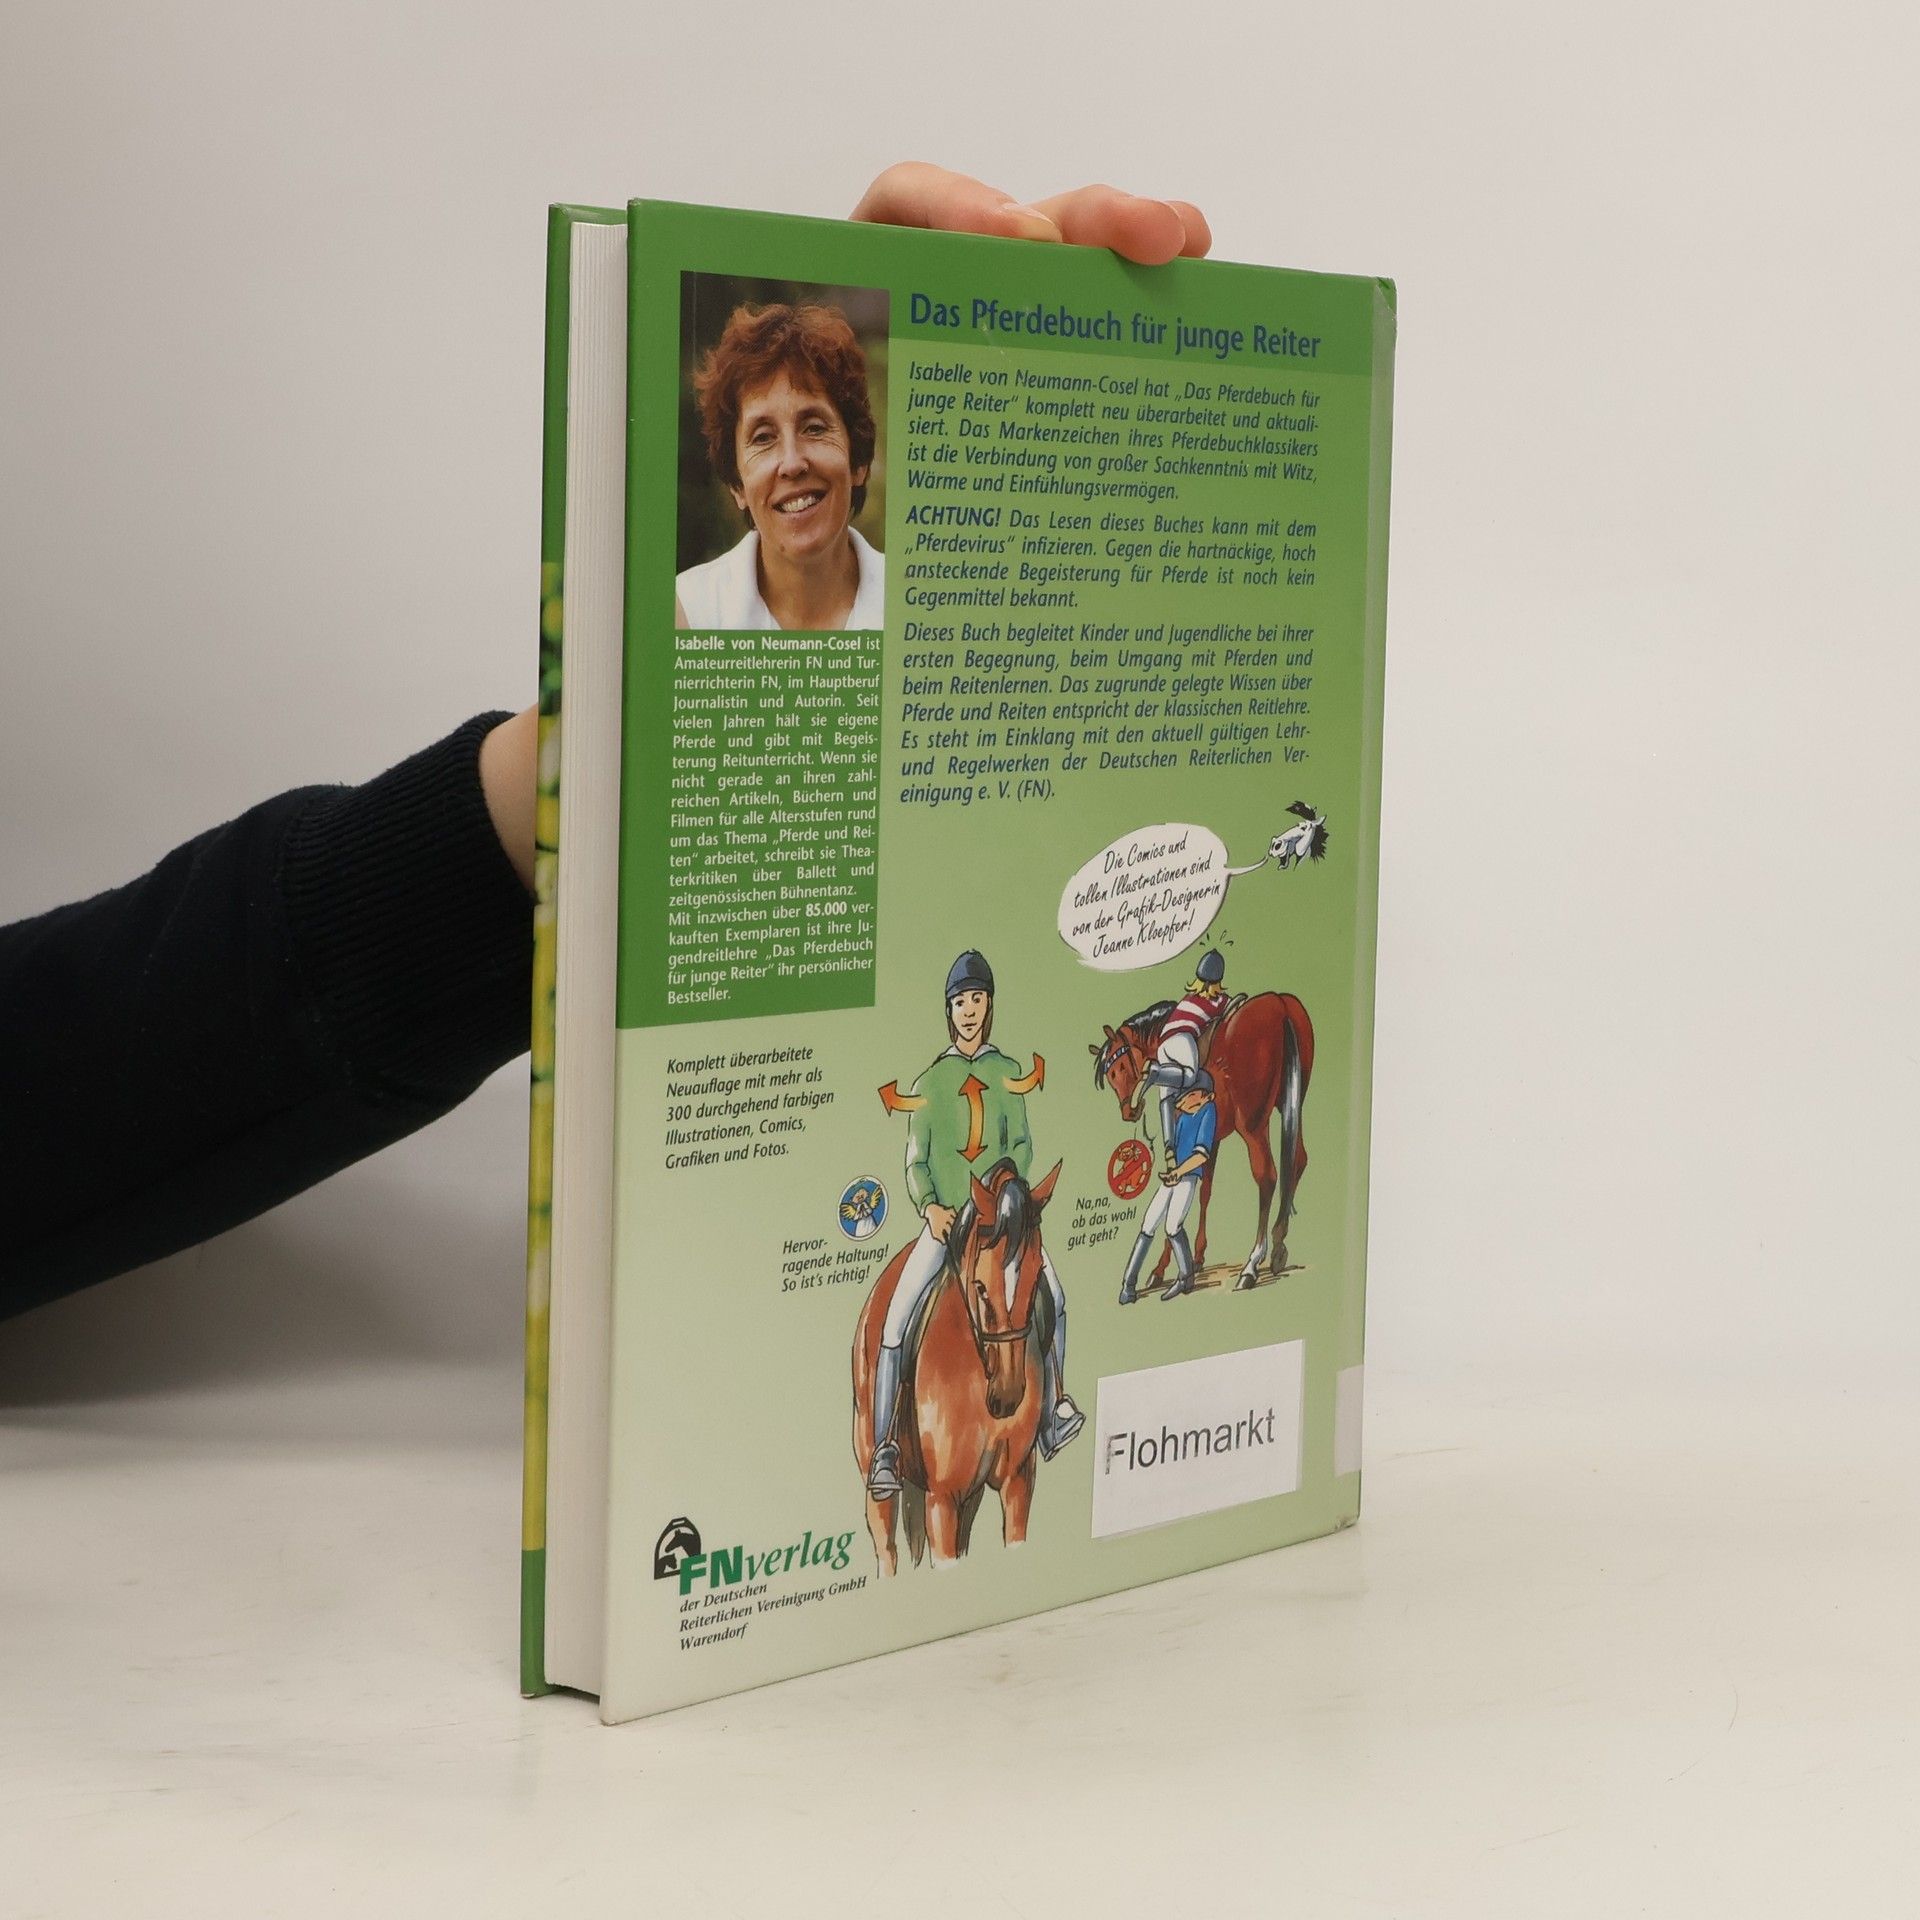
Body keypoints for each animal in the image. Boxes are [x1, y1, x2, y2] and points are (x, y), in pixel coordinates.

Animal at [851, 1158, 1061, 1574]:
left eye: (1035, 1282)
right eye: (980, 1287)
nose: (1007, 1396)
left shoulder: (1016, 1482)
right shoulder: (942, 1497)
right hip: (876, 1470)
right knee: (886, 1546)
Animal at [1090, 991, 1313, 1289]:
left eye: (1121, 1067)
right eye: (1110, 1074)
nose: (1129, 1112)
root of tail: (1280, 1004)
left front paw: (1161, 1268)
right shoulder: (1211, 1136)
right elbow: (1205, 1190)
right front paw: (1196, 1258)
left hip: (1253, 1126)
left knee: (1267, 1176)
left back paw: (1252, 1263)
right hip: (1294, 1105)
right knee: (1297, 1161)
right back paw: (1278, 1247)